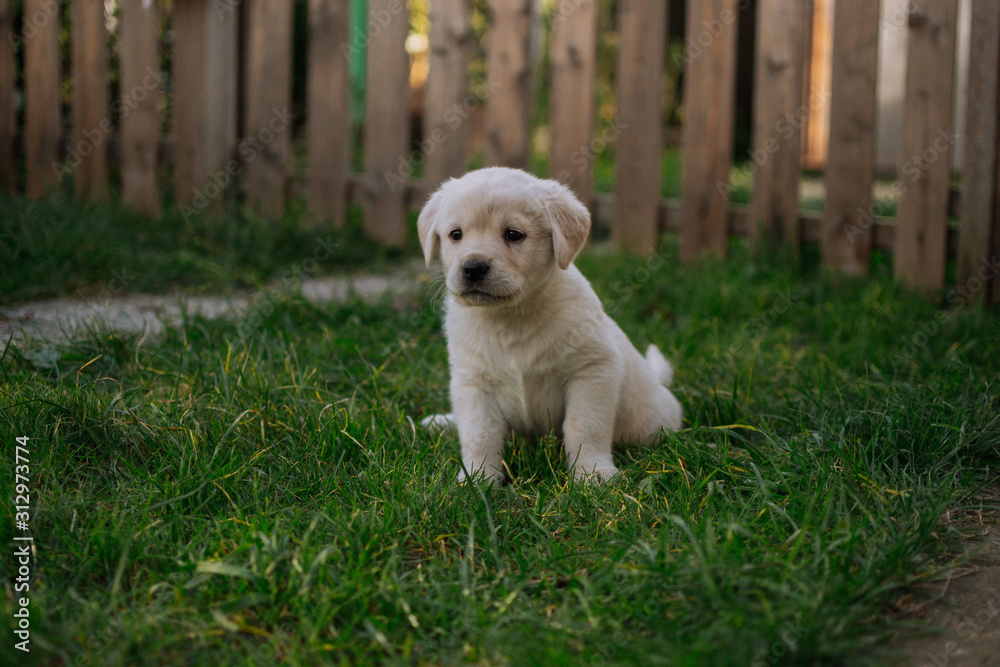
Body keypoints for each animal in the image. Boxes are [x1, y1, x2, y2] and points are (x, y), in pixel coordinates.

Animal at [414, 166, 680, 482]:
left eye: (513, 234)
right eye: (456, 234)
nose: (473, 268)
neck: (509, 318)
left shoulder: (592, 371)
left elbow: (584, 426)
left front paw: (592, 473)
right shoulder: (472, 382)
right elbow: (479, 434)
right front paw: (477, 479)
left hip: (653, 423)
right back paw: (439, 422)